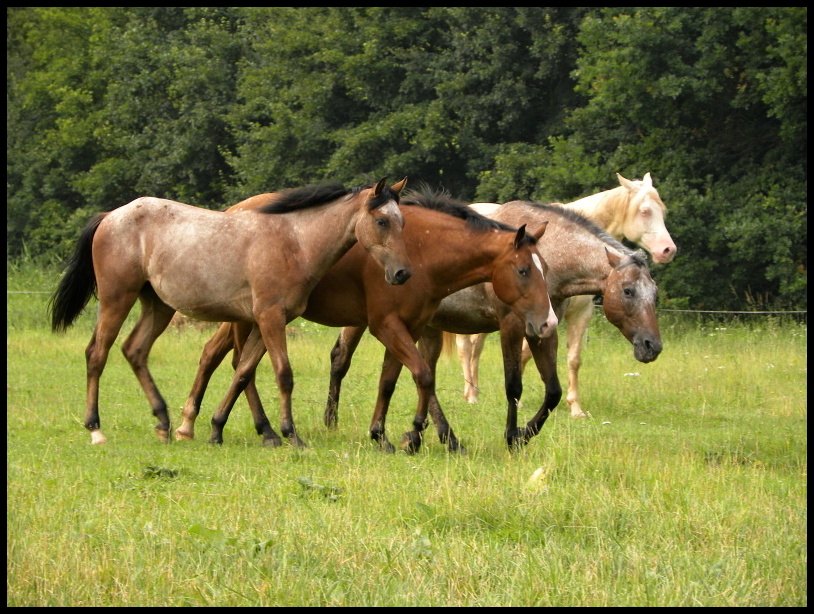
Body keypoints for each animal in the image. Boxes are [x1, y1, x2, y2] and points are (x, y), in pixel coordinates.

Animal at [47, 178, 412, 448]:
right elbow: (283, 374)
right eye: (382, 221)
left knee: (134, 350)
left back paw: (164, 423)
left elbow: (243, 372)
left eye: (403, 222)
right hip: (116, 299)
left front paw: (220, 429)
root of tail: (111, 215)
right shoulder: (270, 318)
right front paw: (290, 435)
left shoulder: (265, 322)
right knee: (97, 353)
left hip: (157, 306)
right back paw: (96, 430)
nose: (403, 274)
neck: (294, 242)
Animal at [171, 186, 556, 452]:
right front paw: (414, 435)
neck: (423, 251)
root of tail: (233, 211)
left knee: (219, 356)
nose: (548, 323)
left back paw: (203, 424)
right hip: (249, 317)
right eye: (524, 270)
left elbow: (391, 381)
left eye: (546, 269)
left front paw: (383, 435)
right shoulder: (386, 325)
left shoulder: (410, 327)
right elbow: (423, 375)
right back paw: (260, 429)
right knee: (239, 364)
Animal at [326, 200, 664, 450]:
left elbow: (553, 390)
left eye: (655, 292)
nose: (653, 346)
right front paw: (512, 436)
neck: (550, 256)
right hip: (365, 321)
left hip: (425, 327)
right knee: (341, 359)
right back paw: (333, 421)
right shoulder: (511, 325)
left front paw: (525, 433)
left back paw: (442, 438)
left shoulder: (544, 330)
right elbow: (513, 385)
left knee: (424, 376)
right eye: (628, 291)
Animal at [452, 172, 676, 418]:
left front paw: (575, 407)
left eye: (654, 293)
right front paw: (517, 403)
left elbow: (572, 359)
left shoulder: (574, 315)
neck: (551, 255)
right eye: (645, 211)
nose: (652, 346)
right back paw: (471, 395)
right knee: (466, 349)